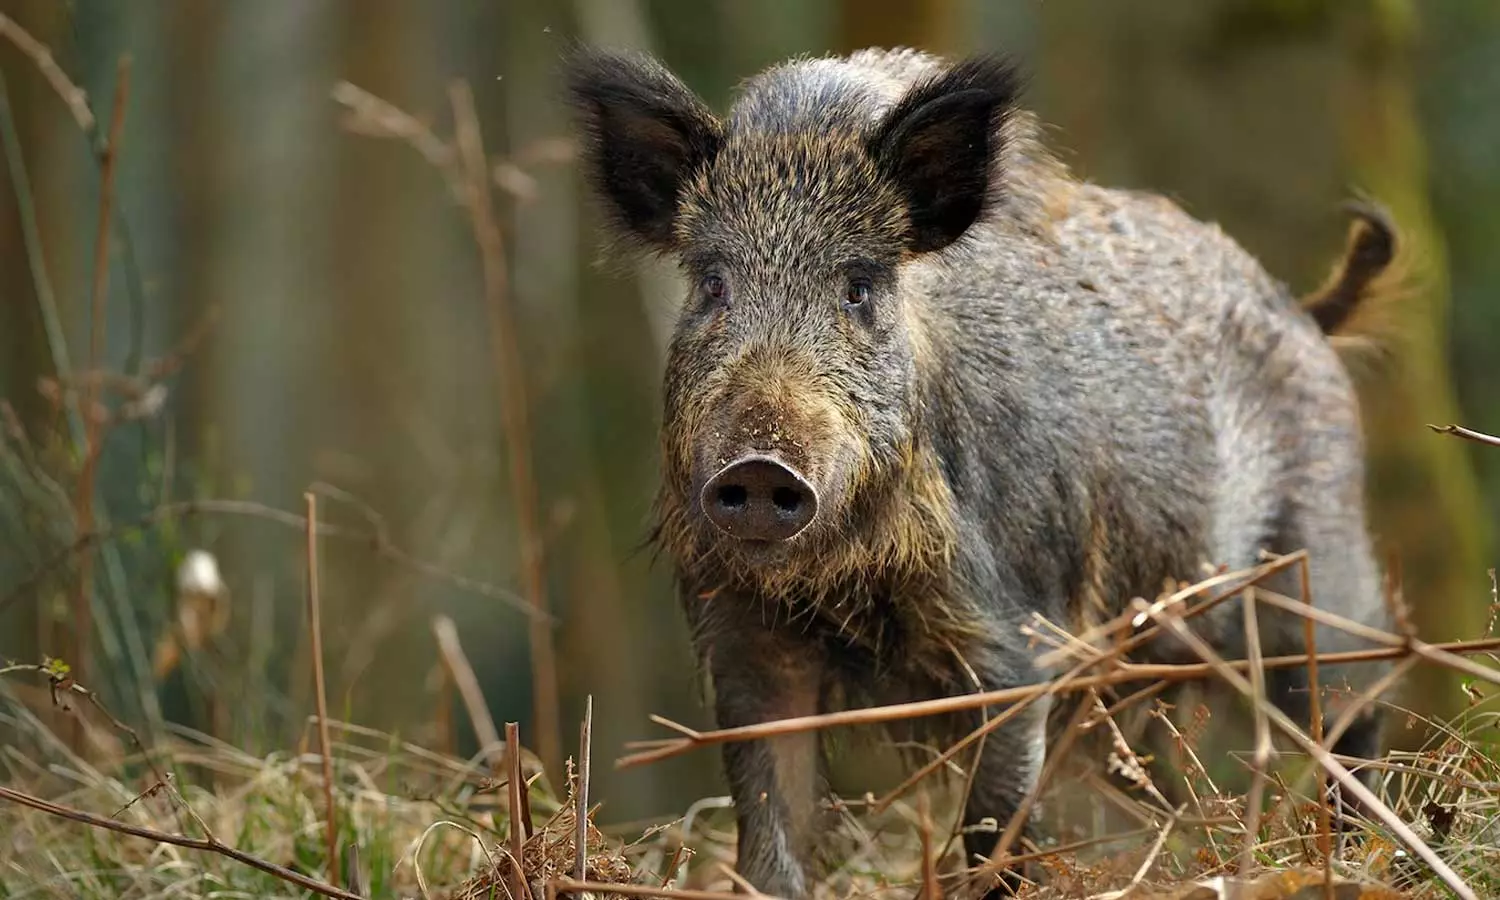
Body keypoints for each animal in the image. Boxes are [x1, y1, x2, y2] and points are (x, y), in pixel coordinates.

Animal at [564, 45, 1395, 898]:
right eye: (711, 284)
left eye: (858, 288)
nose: (762, 467)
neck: (847, 581)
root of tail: (1308, 315)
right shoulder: (742, 635)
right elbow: (770, 822)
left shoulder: (1014, 636)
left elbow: (993, 820)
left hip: (1320, 564)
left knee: (1357, 696)